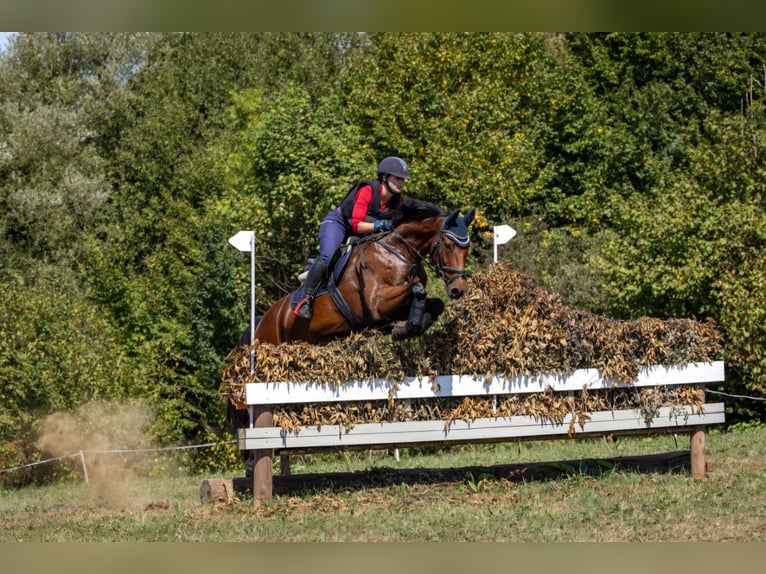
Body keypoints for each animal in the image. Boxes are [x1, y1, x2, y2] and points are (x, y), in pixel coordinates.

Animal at [252, 200, 476, 346]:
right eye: (448, 246)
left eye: (467, 249)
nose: (459, 289)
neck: (399, 252)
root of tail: (263, 320)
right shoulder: (377, 304)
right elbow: (417, 288)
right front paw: (405, 328)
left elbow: (435, 303)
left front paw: (406, 328)